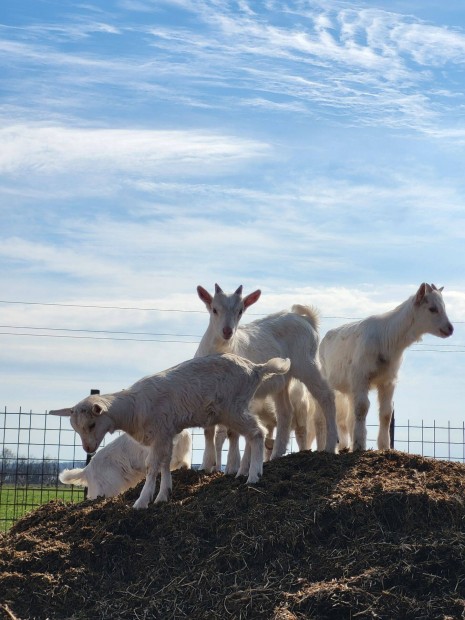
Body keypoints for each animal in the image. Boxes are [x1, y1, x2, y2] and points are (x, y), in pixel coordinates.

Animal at [194, 284, 336, 470]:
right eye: (214, 309)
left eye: (240, 311)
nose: (227, 331)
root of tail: (305, 318)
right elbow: (208, 431)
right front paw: (206, 466)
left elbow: (232, 432)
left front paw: (233, 468)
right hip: (283, 379)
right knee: (285, 412)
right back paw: (276, 454)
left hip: (307, 363)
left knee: (326, 395)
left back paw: (331, 445)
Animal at [318, 284, 452, 450]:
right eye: (432, 309)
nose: (450, 328)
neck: (387, 338)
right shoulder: (360, 376)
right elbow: (362, 407)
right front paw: (359, 445)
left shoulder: (388, 380)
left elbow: (386, 413)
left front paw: (384, 446)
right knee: (329, 413)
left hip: (350, 389)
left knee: (347, 418)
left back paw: (344, 446)